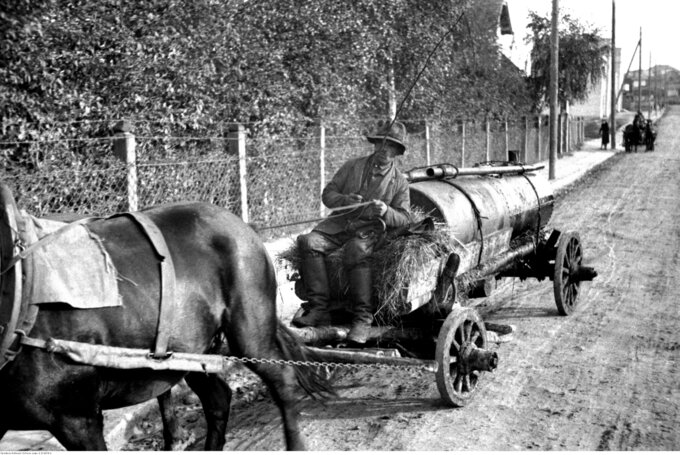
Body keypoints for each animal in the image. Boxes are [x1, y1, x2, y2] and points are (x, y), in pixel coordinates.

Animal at [0, 200, 330, 452]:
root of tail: (241, 225)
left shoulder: (77, 417)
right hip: (193, 351)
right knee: (218, 398)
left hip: (250, 329)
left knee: (282, 380)